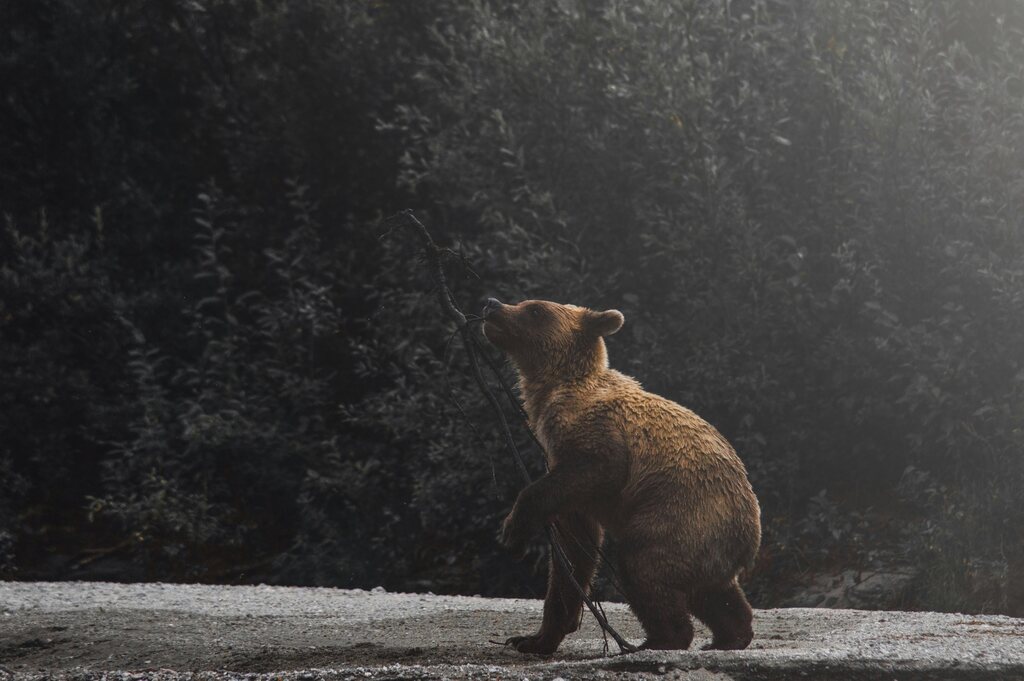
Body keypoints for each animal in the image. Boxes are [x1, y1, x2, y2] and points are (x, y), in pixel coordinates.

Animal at [481, 296, 761, 655]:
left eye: (535, 309)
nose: (492, 304)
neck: (552, 394)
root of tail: (751, 540)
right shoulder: (562, 474)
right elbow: (573, 553)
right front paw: (533, 638)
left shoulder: (596, 438)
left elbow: (597, 470)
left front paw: (511, 531)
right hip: (707, 544)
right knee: (713, 591)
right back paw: (729, 635)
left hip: (684, 515)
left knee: (643, 564)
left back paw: (659, 639)